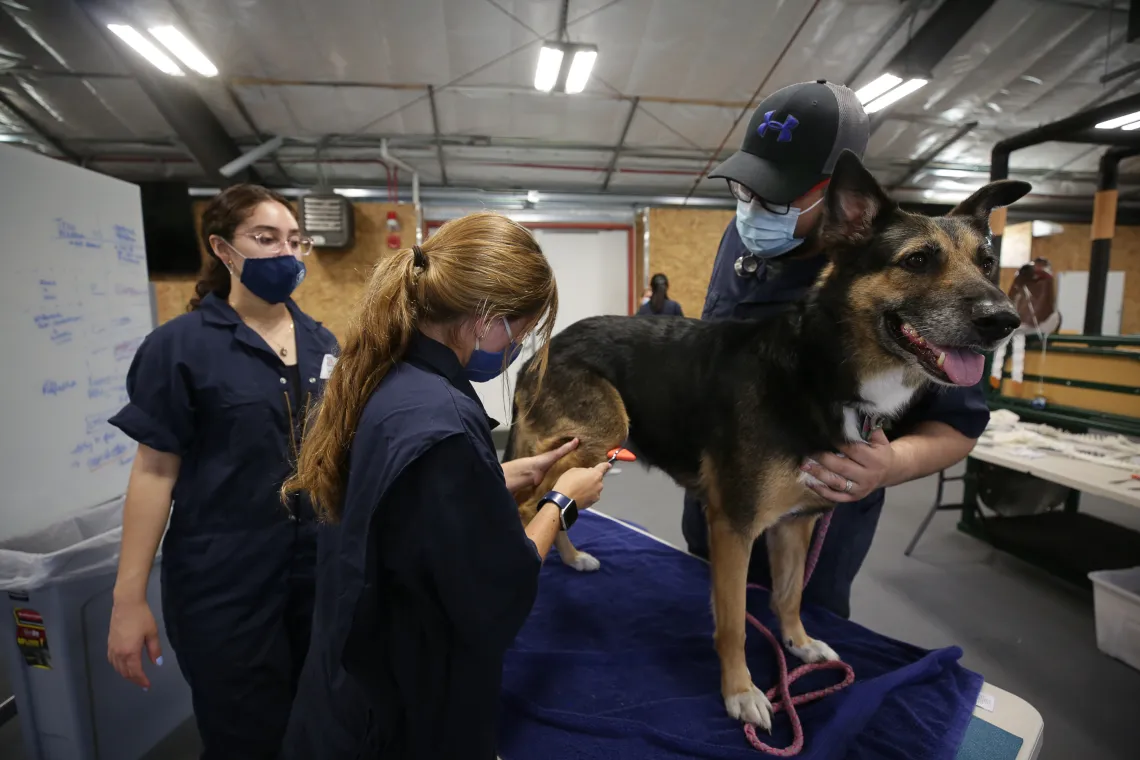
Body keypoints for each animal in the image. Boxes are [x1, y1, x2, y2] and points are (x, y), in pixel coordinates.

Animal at [503, 150, 1030, 729]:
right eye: (916, 261)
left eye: (987, 263)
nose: (1005, 321)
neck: (820, 370)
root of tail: (543, 350)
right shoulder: (733, 526)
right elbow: (734, 622)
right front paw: (741, 692)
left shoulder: (796, 523)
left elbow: (788, 595)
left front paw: (797, 645)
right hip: (599, 438)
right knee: (528, 503)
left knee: (552, 500)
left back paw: (572, 557)